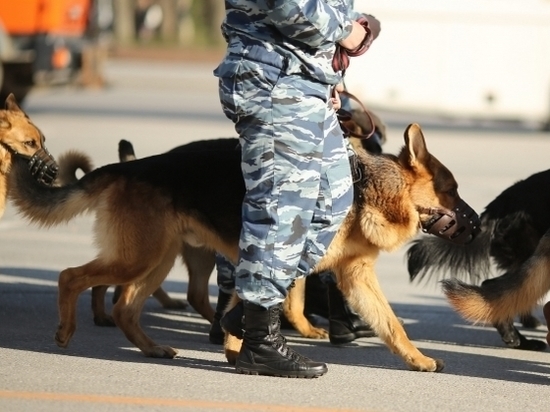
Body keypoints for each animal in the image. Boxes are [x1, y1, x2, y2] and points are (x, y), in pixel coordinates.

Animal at [7, 123, 478, 374]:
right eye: (452, 191)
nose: (478, 225)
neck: (373, 189)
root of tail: (130, 167)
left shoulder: (353, 275)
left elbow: (392, 325)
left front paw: (417, 360)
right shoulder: (281, 257)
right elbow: (268, 302)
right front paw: (247, 348)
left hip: (155, 261)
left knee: (125, 307)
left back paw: (151, 348)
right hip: (136, 259)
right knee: (72, 277)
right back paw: (66, 331)